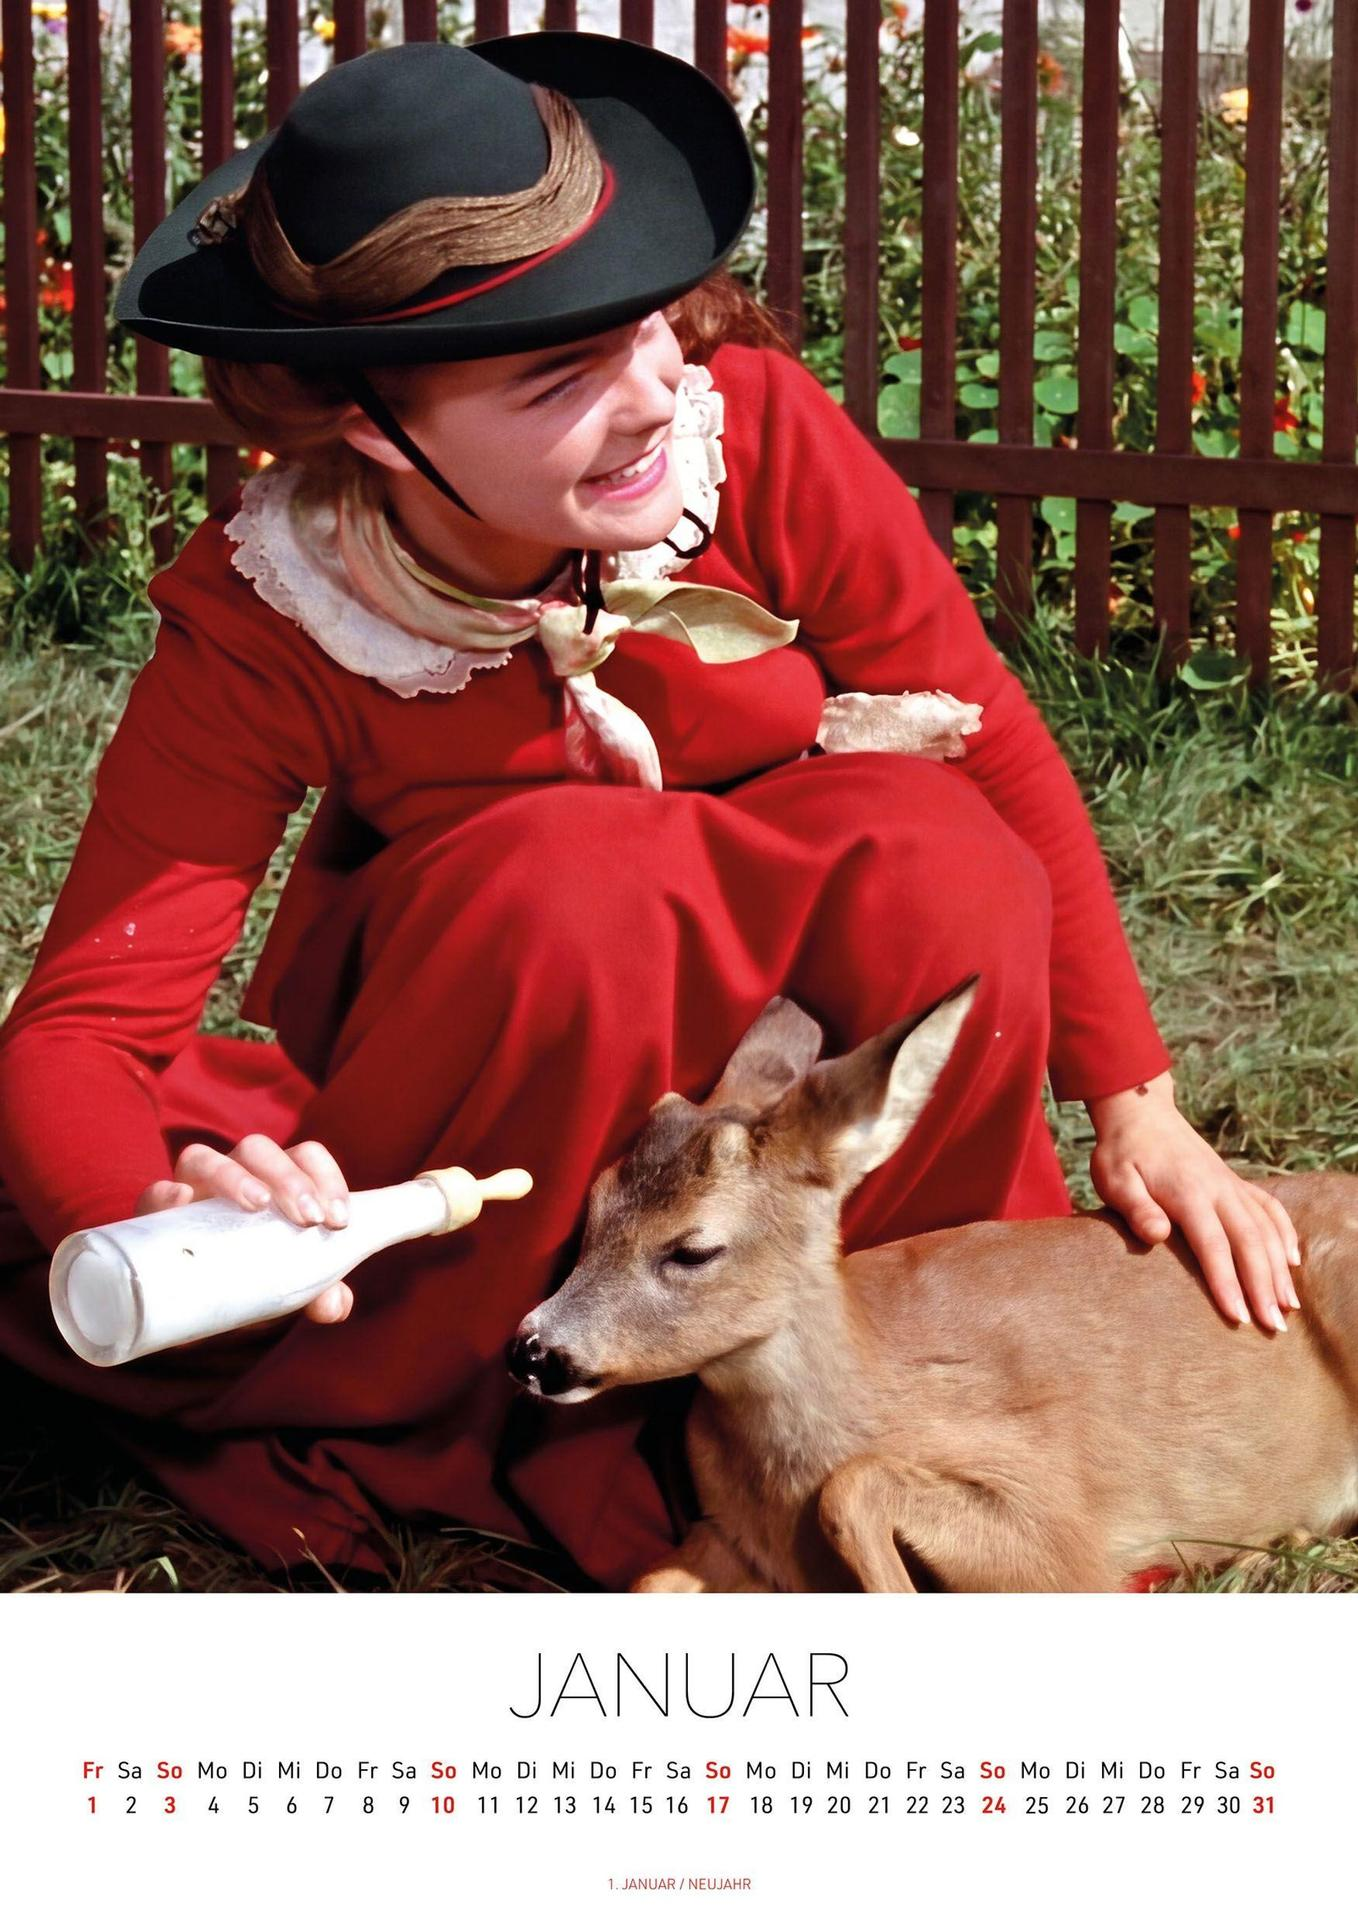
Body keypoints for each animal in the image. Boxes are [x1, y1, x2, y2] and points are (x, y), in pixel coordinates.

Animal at [506, 978, 1358, 1592]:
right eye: (594, 1204)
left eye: (693, 1249)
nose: (534, 1351)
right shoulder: (732, 1540)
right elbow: (650, 1580)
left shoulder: (1062, 1525)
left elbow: (853, 1489)